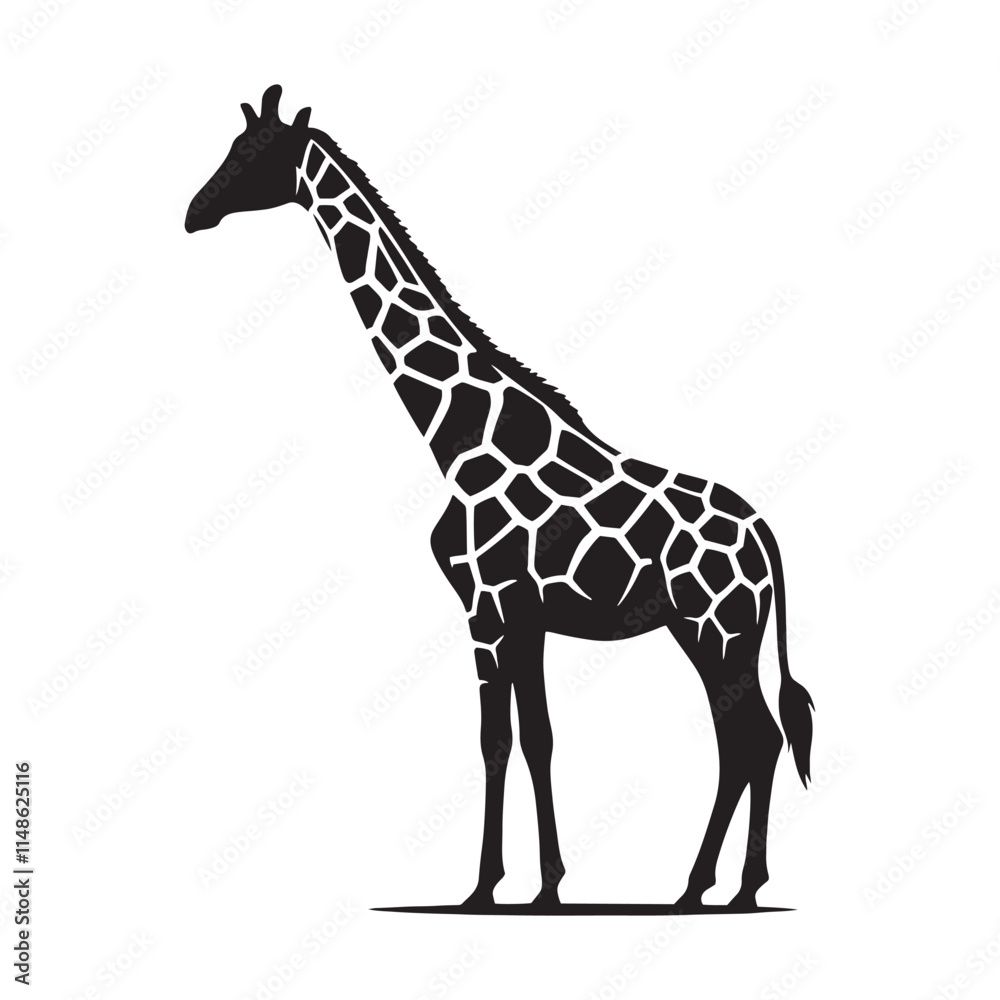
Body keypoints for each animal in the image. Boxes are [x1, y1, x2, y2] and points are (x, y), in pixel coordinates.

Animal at [186, 86, 814, 911]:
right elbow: (536, 739)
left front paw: (486, 885)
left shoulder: (485, 611)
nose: (193, 213)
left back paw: (721, 888)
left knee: (752, 737)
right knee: (748, 738)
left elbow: (495, 740)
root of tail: (766, 535)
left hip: (721, 629)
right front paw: (546, 884)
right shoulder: (524, 620)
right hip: (704, 631)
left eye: (251, 155)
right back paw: (714, 885)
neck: (456, 443)